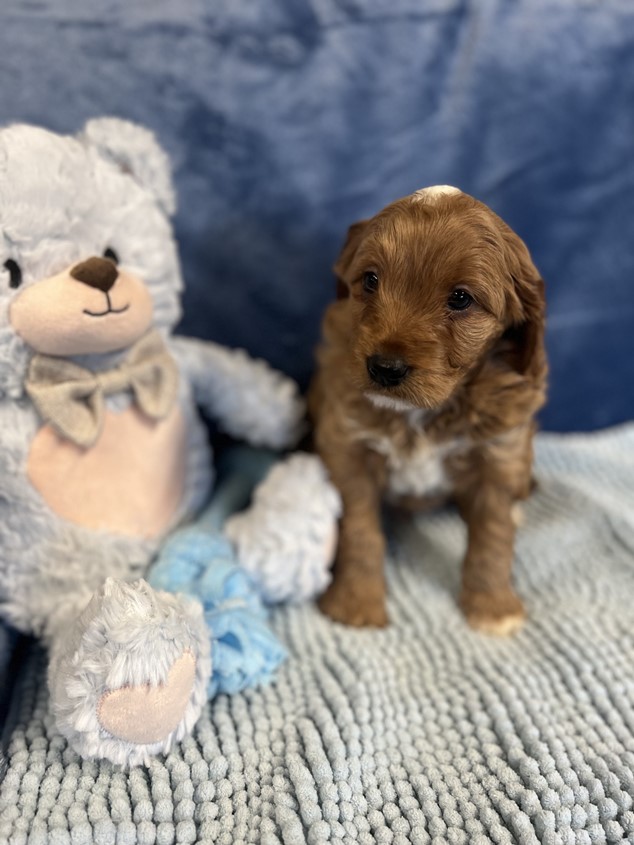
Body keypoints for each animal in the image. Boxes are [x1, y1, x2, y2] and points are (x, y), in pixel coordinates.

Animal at [308, 186, 544, 632]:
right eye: (371, 279)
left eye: (461, 298)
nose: (384, 367)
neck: (421, 414)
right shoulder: (348, 448)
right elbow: (360, 530)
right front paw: (356, 604)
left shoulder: (498, 455)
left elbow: (493, 534)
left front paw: (492, 607)